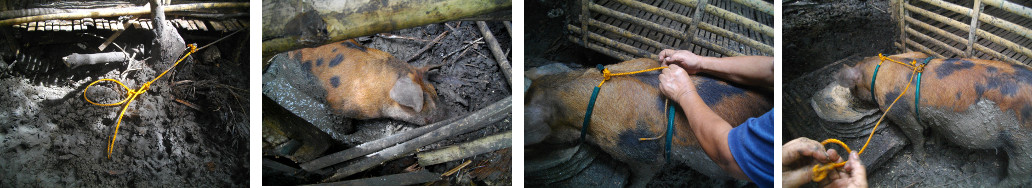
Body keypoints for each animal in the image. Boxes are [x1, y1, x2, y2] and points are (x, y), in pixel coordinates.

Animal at [817, 51, 1027, 186]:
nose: (852, 95)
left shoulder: (898, 110)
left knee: (1019, 172)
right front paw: (936, 145)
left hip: (1021, 143)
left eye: (853, 87)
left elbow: (916, 134)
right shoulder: (932, 114)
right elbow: (935, 131)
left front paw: (920, 159)